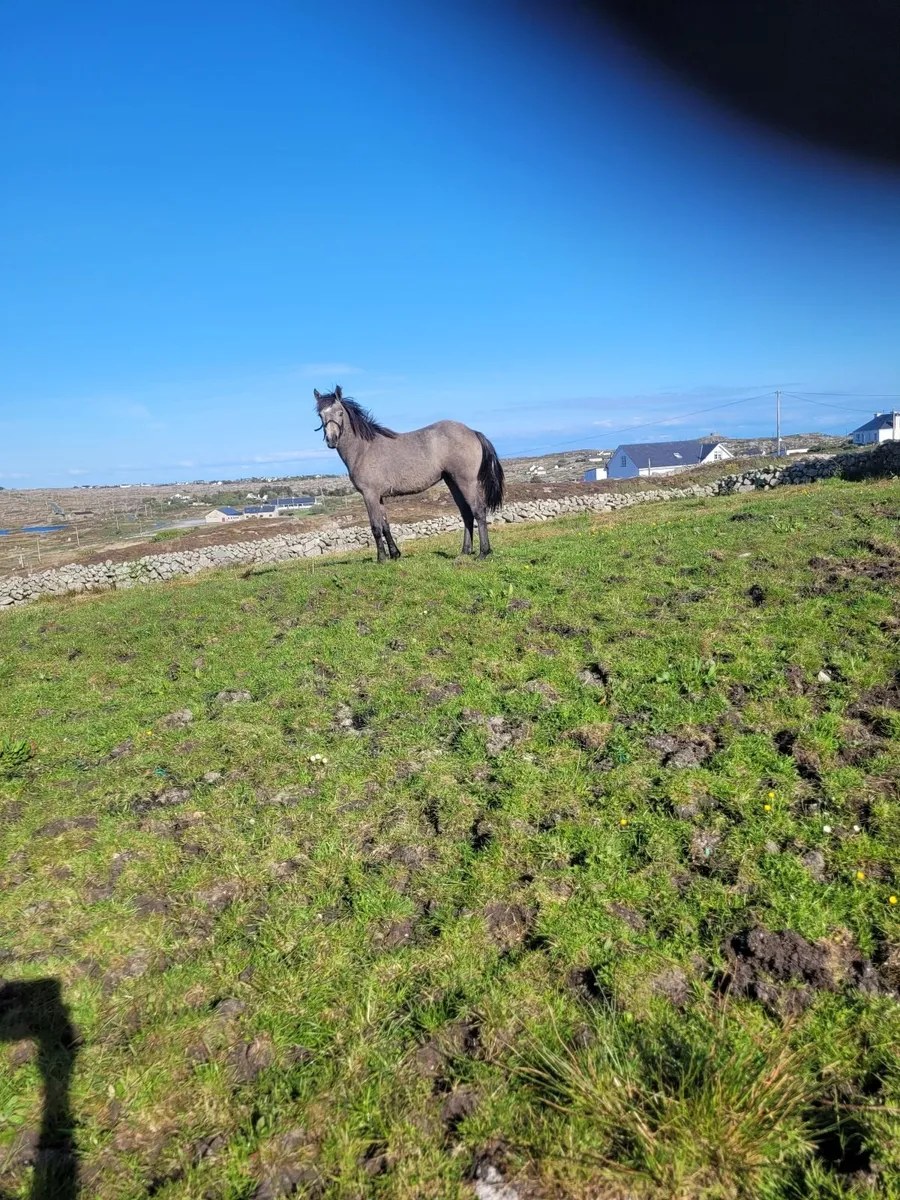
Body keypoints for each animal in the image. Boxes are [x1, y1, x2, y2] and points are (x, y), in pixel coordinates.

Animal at [314, 386, 505, 562]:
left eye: (339, 413)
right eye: (320, 415)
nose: (331, 440)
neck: (363, 449)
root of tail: (472, 432)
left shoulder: (369, 495)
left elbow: (375, 527)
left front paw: (381, 558)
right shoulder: (379, 497)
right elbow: (385, 525)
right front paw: (394, 554)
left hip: (466, 482)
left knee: (478, 511)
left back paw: (484, 552)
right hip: (452, 482)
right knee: (466, 513)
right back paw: (465, 551)